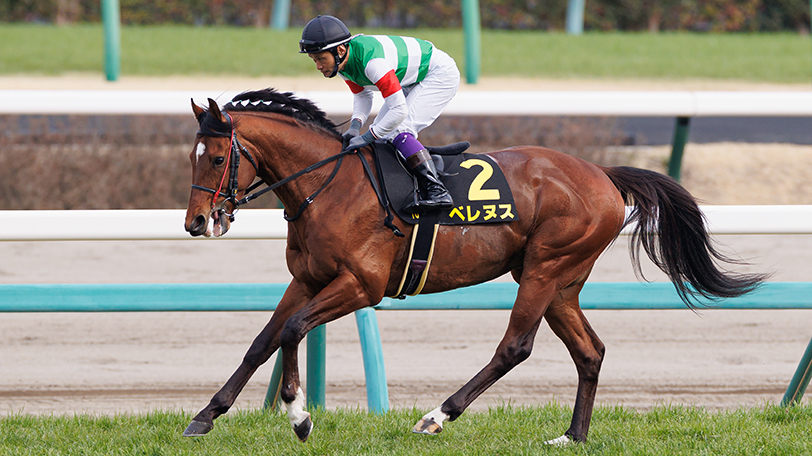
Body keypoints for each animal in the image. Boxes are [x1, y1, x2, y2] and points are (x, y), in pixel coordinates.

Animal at [182, 88, 766, 445]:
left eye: (218, 158)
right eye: (192, 157)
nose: (195, 223)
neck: (326, 186)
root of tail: (602, 173)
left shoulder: (362, 286)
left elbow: (294, 331)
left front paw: (299, 416)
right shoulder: (307, 278)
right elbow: (263, 341)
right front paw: (205, 416)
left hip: (545, 268)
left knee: (516, 346)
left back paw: (437, 415)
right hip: (560, 282)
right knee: (590, 351)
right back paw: (572, 436)